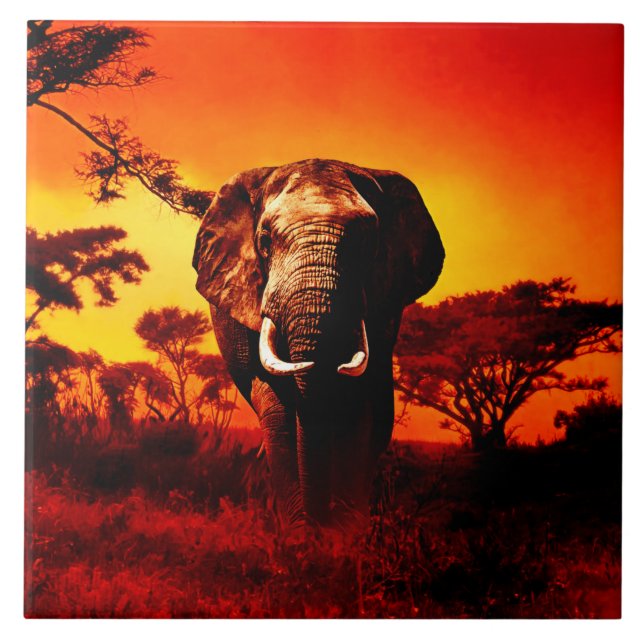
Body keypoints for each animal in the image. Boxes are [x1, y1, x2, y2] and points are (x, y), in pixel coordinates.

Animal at [192, 159, 444, 528]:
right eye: (264, 240)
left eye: (369, 243)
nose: (318, 523)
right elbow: (279, 408)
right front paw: (301, 535)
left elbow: (358, 404)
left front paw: (342, 534)